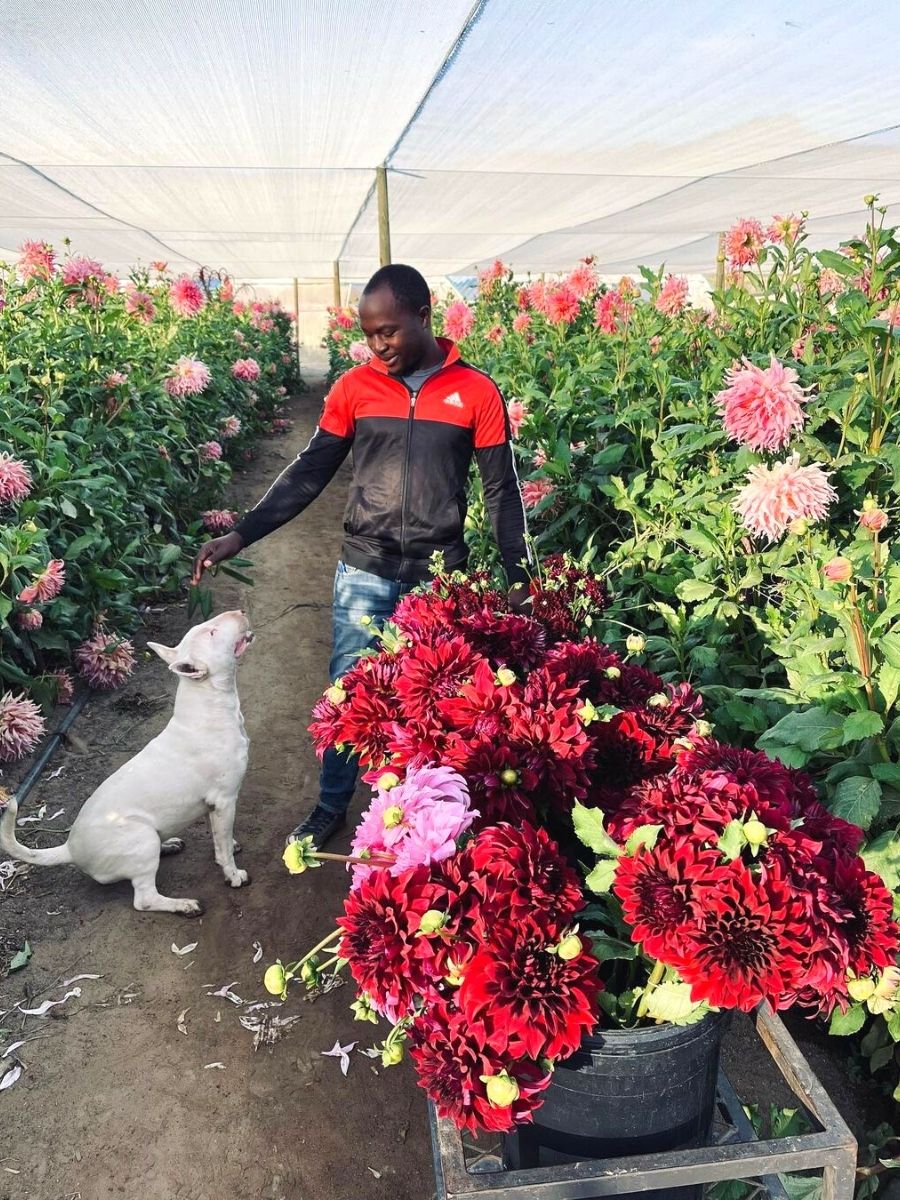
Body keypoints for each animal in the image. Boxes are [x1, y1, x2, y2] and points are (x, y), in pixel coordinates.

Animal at [0, 609, 254, 916]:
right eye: (212, 633)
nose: (240, 612)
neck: (207, 702)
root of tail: (70, 848)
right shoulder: (225, 799)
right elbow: (224, 846)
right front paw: (234, 875)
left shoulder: (212, 805)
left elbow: (220, 837)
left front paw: (229, 846)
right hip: (140, 838)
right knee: (144, 899)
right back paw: (183, 905)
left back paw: (169, 845)